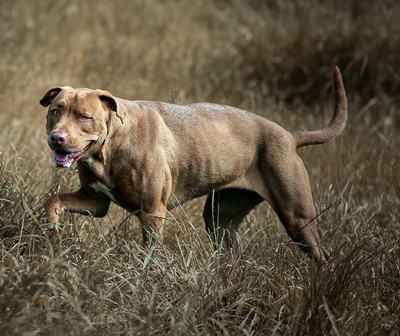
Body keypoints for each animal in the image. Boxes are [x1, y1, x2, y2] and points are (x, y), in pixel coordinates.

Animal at [40, 66, 346, 266]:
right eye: (55, 110)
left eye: (84, 117)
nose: (57, 139)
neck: (110, 146)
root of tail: (290, 136)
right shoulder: (95, 201)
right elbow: (54, 200)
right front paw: (50, 230)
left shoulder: (153, 213)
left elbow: (148, 255)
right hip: (220, 219)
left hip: (297, 218)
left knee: (322, 255)